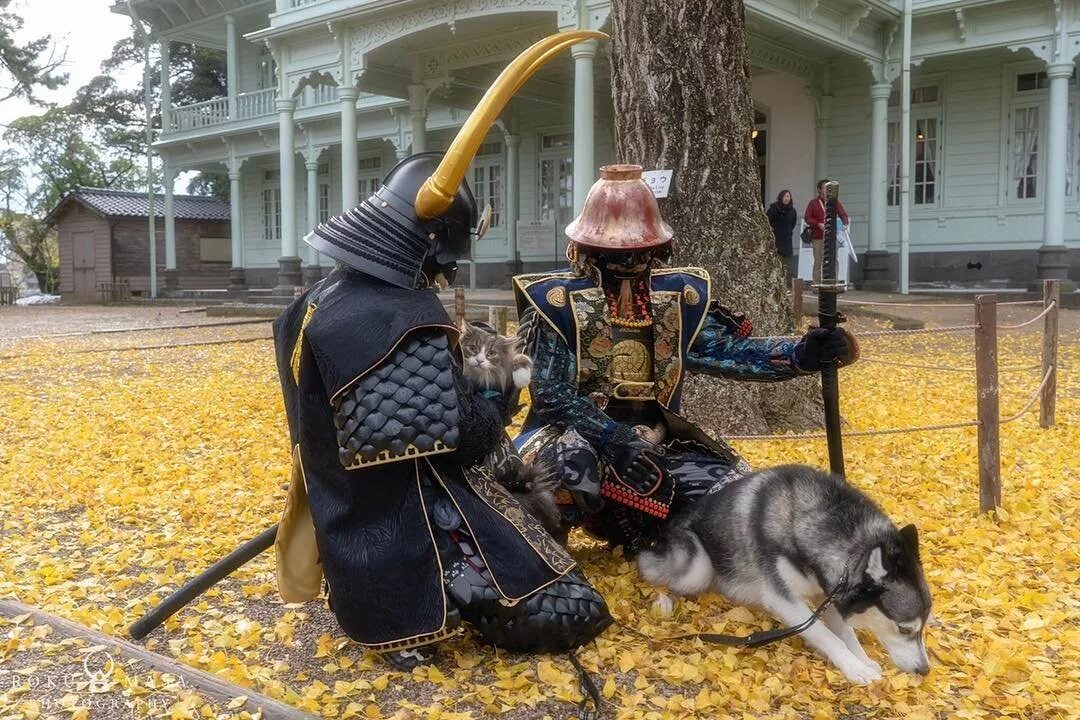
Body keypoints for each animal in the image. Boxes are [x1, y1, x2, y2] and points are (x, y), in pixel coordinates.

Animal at [635, 464, 933, 686]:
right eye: (905, 628)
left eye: (922, 628)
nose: (925, 670)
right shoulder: (783, 599)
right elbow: (827, 636)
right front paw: (854, 668)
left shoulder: (830, 593)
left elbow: (846, 633)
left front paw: (863, 660)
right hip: (697, 566)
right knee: (651, 566)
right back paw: (663, 599)